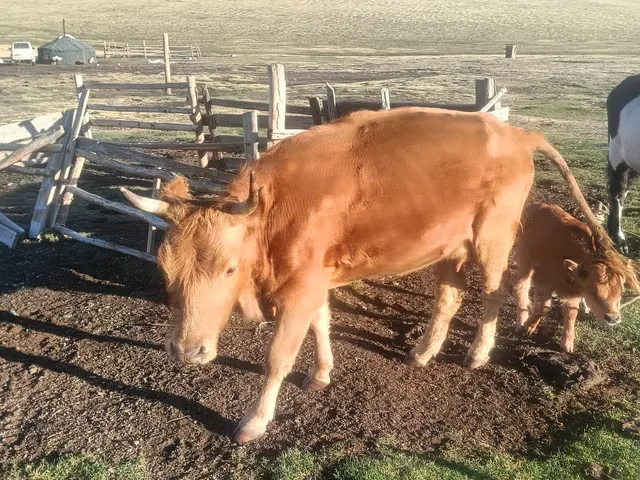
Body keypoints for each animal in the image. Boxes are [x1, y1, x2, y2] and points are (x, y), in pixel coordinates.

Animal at [120, 106, 610, 444]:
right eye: (165, 267)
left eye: (229, 268)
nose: (186, 351)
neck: (278, 207)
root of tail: (516, 133)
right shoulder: (314, 279)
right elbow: (321, 323)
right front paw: (321, 373)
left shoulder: (299, 289)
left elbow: (278, 356)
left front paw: (255, 421)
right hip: (449, 244)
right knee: (450, 296)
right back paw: (423, 351)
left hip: (493, 236)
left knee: (493, 293)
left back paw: (478, 353)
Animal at [513, 203, 639, 352]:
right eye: (594, 292)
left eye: (621, 293)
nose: (612, 318)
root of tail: (537, 205)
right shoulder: (545, 280)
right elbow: (544, 307)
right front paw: (528, 326)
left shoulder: (573, 293)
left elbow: (571, 312)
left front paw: (567, 343)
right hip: (525, 260)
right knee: (521, 285)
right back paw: (521, 319)